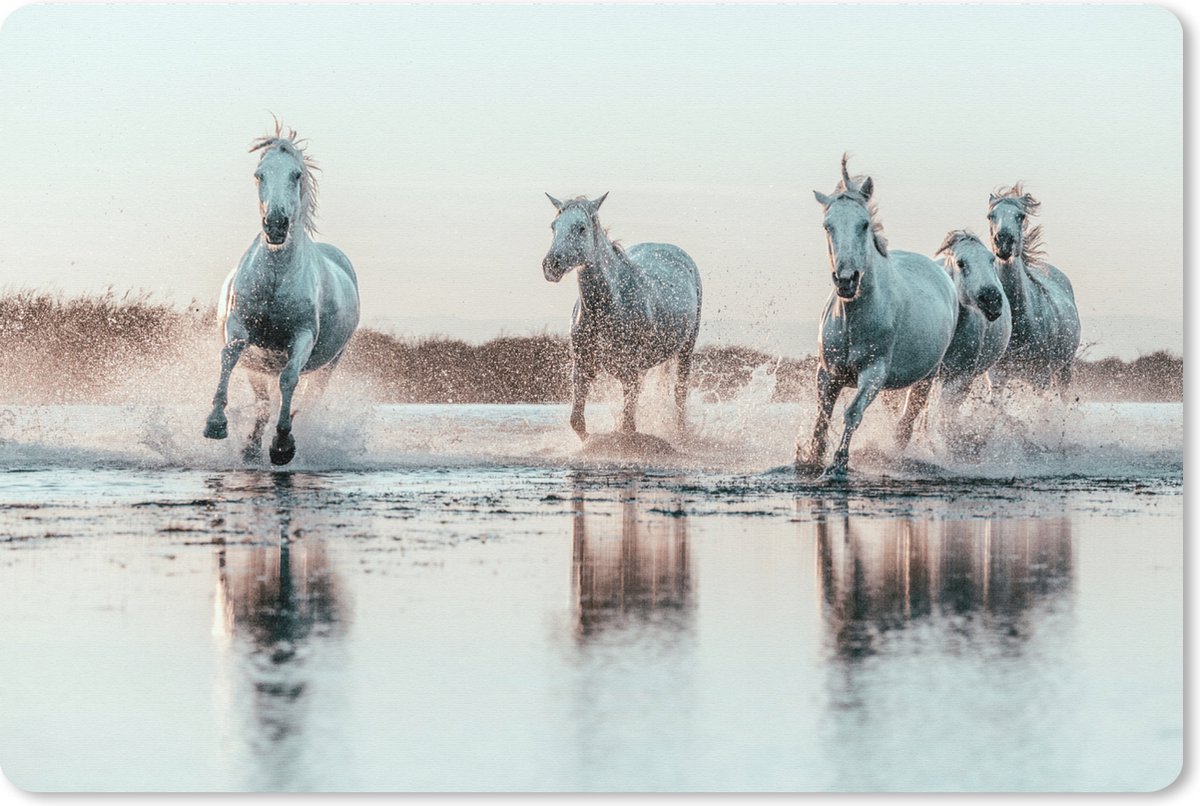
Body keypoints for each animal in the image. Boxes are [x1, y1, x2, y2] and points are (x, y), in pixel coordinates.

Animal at [203, 123, 360, 466]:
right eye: (259, 174)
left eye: (296, 174)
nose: (275, 225)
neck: (275, 275)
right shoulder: (240, 326)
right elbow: (228, 356)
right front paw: (215, 424)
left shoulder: (302, 336)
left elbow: (289, 379)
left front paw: (282, 444)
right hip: (259, 367)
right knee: (263, 401)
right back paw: (250, 449)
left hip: (331, 363)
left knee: (303, 396)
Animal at [542, 193, 702, 443]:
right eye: (553, 226)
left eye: (581, 227)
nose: (551, 265)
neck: (606, 307)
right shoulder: (583, 366)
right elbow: (578, 422)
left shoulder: (630, 372)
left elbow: (627, 427)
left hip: (686, 349)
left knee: (680, 394)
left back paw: (681, 433)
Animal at [797, 156, 958, 476]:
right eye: (827, 226)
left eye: (864, 224)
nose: (846, 280)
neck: (852, 319)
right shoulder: (827, 373)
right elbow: (822, 416)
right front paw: (812, 457)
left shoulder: (874, 373)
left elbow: (852, 413)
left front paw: (839, 464)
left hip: (927, 376)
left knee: (908, 419)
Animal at [986, 185, 1081, 396]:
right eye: (990, 216)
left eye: (1020, 216)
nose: (1003, 241)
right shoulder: (997, 377)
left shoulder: (1040, 378)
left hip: (1065, 369)